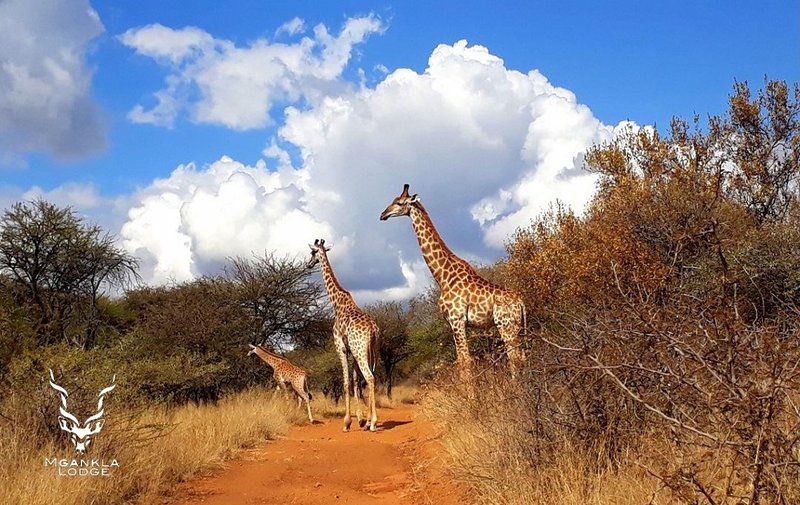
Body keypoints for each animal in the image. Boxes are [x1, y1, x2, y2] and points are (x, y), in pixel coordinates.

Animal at [308, 238, 380, 432]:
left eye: (312, 253)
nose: (308, 264)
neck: (337, 303)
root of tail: (373, 328)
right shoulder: (352, 350)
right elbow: (355, 381)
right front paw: (361, 419)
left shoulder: (340, 346)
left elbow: (346, 382)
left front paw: (347, 422)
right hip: (370, 350)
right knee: (370, 377)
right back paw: (369, 421)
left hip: (361, 351)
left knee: (370, 377)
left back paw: (373, 422)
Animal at [380, 184, 528, 378]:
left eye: (399, 203)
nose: (383, 214)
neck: (442, 277)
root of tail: (521, 302)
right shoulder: (452, 323)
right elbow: (461, 360)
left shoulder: (457, 319)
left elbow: (465, 361)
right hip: (517, 326)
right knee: (522, 356)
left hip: (506, 324)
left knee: (514, 357)